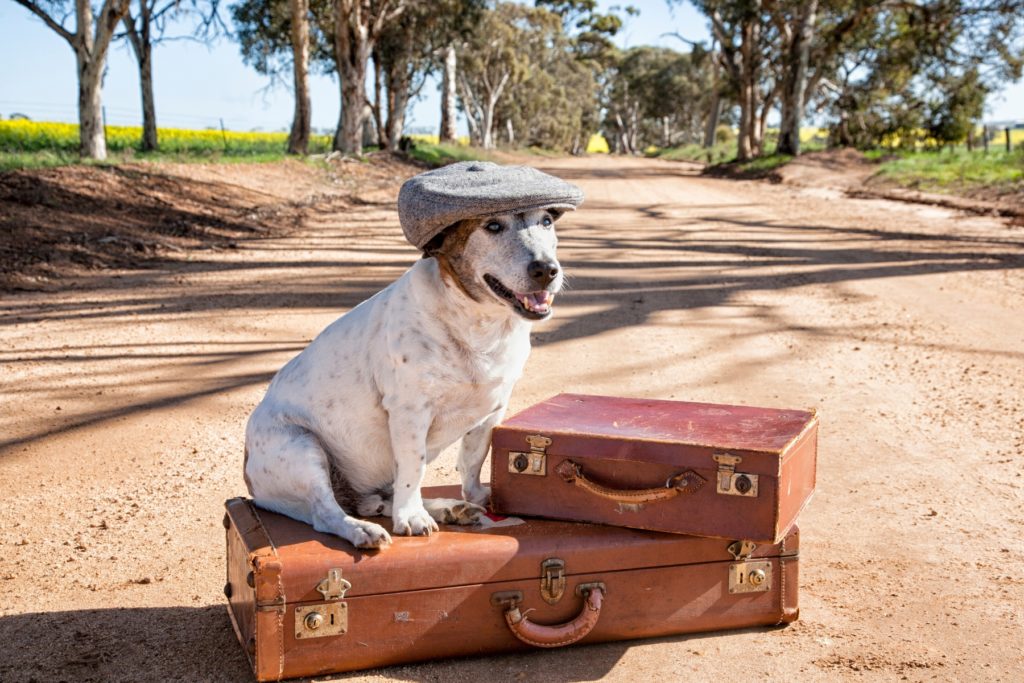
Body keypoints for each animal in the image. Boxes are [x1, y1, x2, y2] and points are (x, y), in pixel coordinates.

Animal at [243, 205, 565, 548]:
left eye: (546, 221)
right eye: (492, 226)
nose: (546, 270)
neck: (480, 325)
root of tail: (252, 485)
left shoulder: (494, 408)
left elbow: (473, 458)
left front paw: (475, 496)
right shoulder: (410, 413)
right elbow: (413, 467)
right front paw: (410, 517)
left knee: (378, 498)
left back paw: (441, 508)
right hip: (303, 448)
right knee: (326, 512)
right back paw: (364, 529)